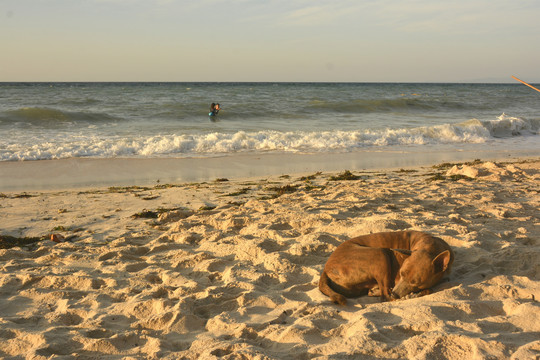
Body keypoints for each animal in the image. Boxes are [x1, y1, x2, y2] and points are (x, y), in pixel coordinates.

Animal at [318, 231, 454, 304]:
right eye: (401, 273)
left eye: (415, 282)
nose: (395, 294)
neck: (430, 246)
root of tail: (325, 268)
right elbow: (429, 289)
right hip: (379, 254)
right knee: (385, 295)